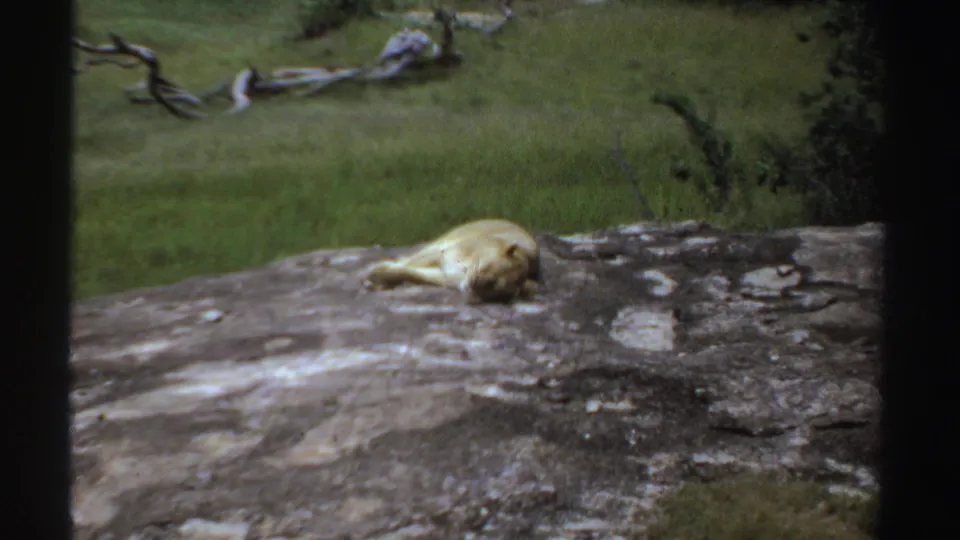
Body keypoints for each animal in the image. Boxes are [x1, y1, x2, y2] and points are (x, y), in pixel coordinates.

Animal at [362, 218, 541, 303]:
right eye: (489, 267)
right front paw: (375, 273)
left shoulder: (443, 275)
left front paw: (378, 278)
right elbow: (406, 265)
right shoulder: (442, 253)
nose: (475, 283)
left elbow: (409, 272)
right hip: (441, 242)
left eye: (495, 287)